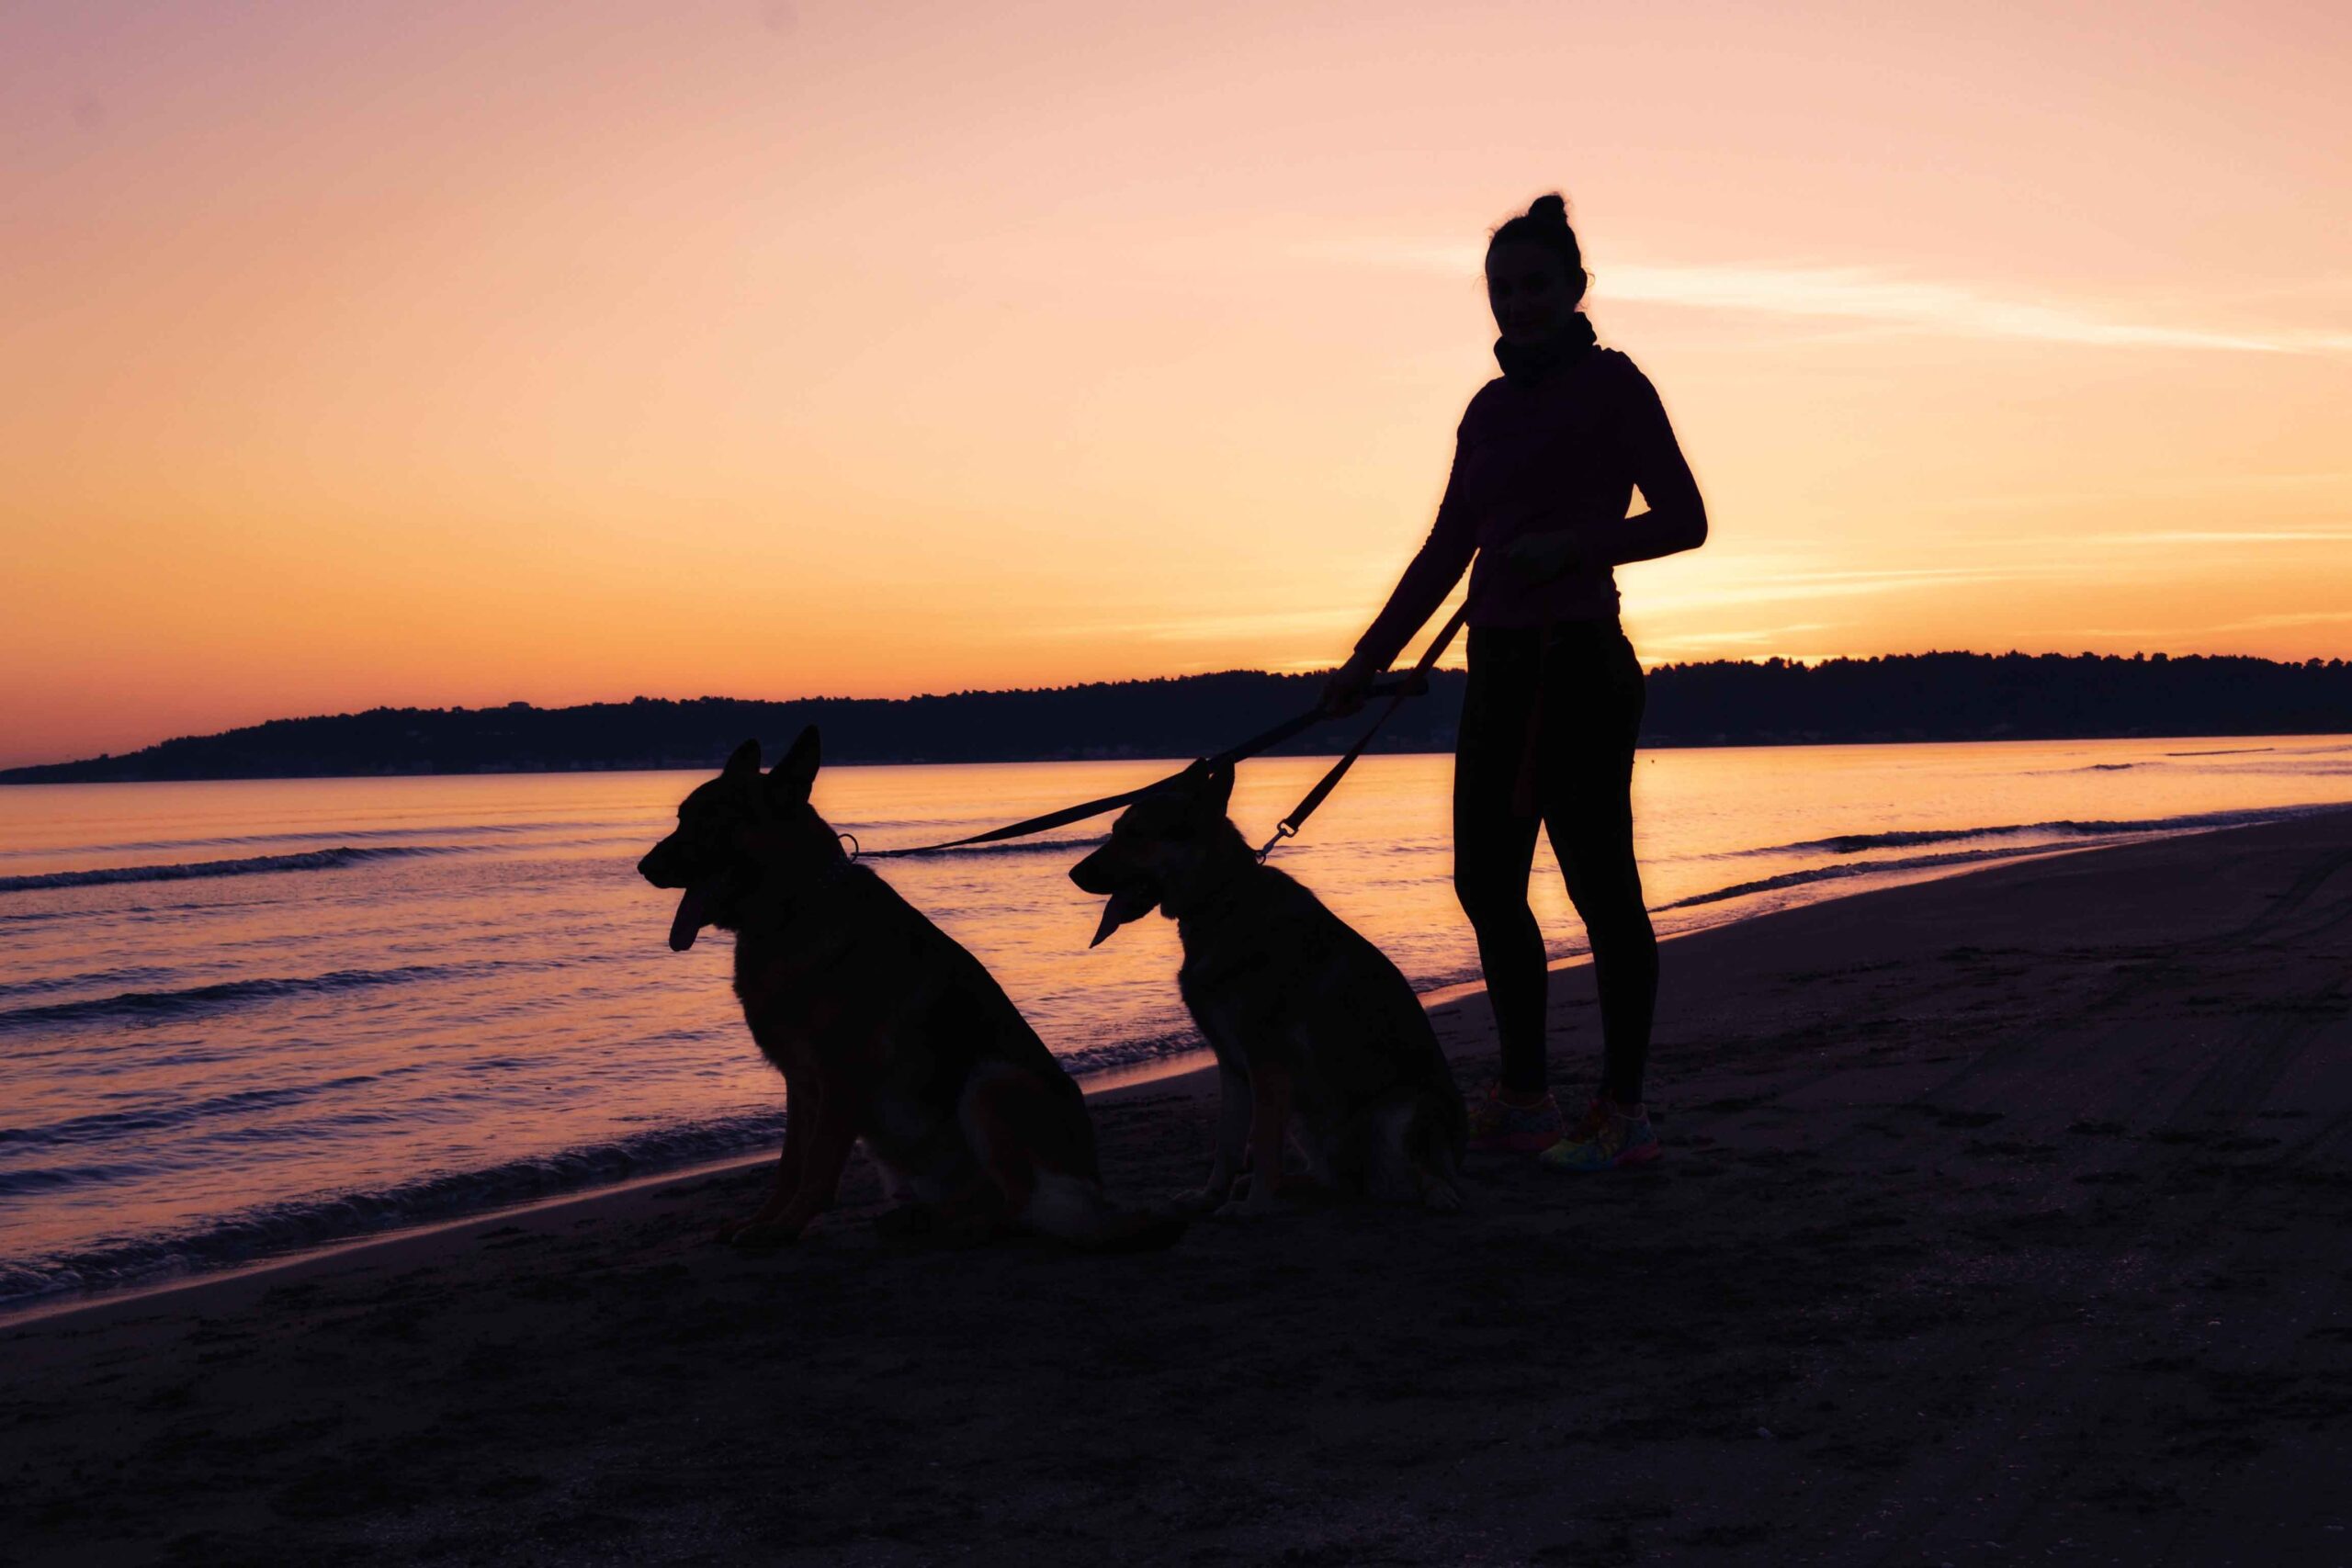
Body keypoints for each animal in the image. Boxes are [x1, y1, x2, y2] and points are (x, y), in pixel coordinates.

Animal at [644, 728, 1185, 1259]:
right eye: (682, 818)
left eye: (710, 820)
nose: (644, 867)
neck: (797, 907)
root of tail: (1089, 1191)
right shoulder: (800, 1082)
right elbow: (789, 1164)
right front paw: (766, 1219)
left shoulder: (839, 1077)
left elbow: (816, 1165)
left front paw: (782, 1229)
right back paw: (925, 1219)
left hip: (992, 1081)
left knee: (1018, 1202)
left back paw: (969, 1229)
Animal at [1072, 766, 1467, 1222]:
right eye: (1115, 831)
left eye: (1135, 834)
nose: (1074, 874)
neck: (1222, 897)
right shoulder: (1234, 1066)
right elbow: (1227, 1144)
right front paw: (1212, 1195)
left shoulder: (1266, 1062)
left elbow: (1261, 1143)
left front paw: (1253, 1207)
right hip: (1303, 1115)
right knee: (1338, 1182)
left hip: (1403, 1109)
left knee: (1420, 1173)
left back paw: (1438, 1192)